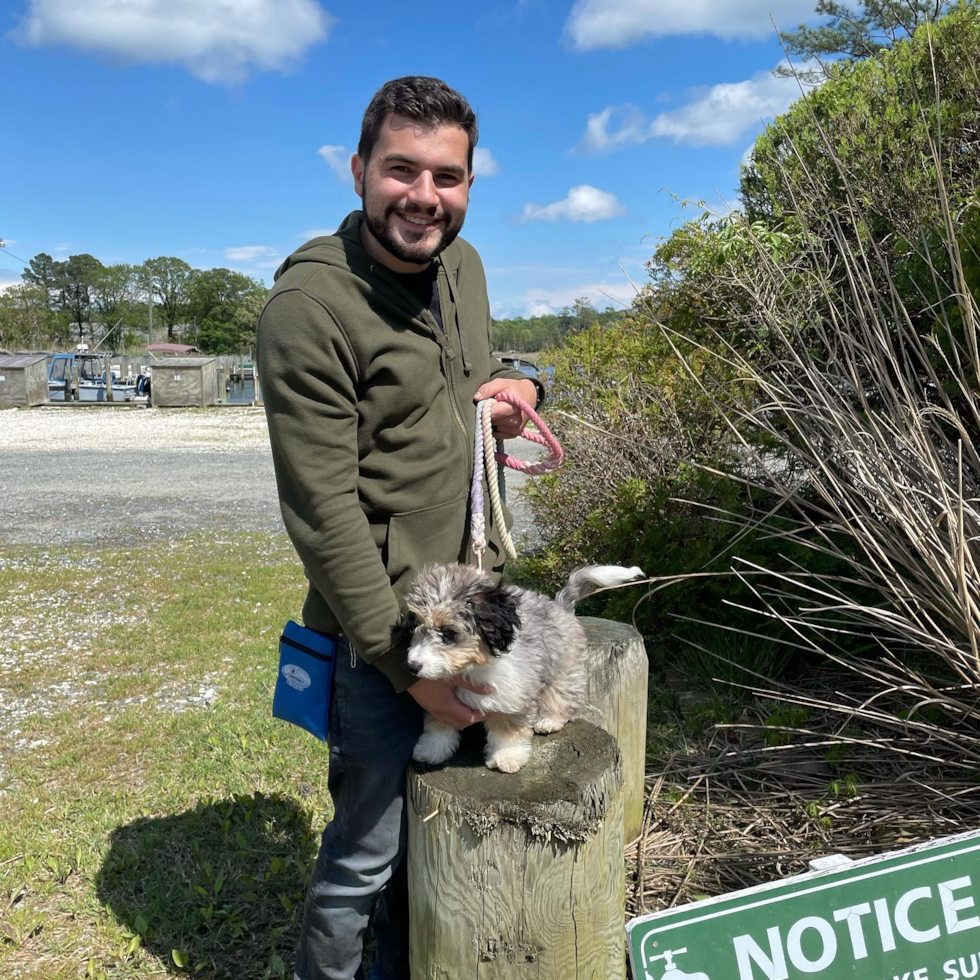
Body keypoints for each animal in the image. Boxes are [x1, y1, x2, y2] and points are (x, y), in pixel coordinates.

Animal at [404, 560, 644, 772]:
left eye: (448, 633)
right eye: (415, 626)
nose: (413, 666)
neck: (473, 666)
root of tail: (561, 606)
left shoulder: (514, 697)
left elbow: (508, 730)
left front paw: (506, 757)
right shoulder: (442, 700)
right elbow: (438, 725)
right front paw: (431, 750)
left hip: (562, 667)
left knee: (561, 694)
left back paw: (549, 720)